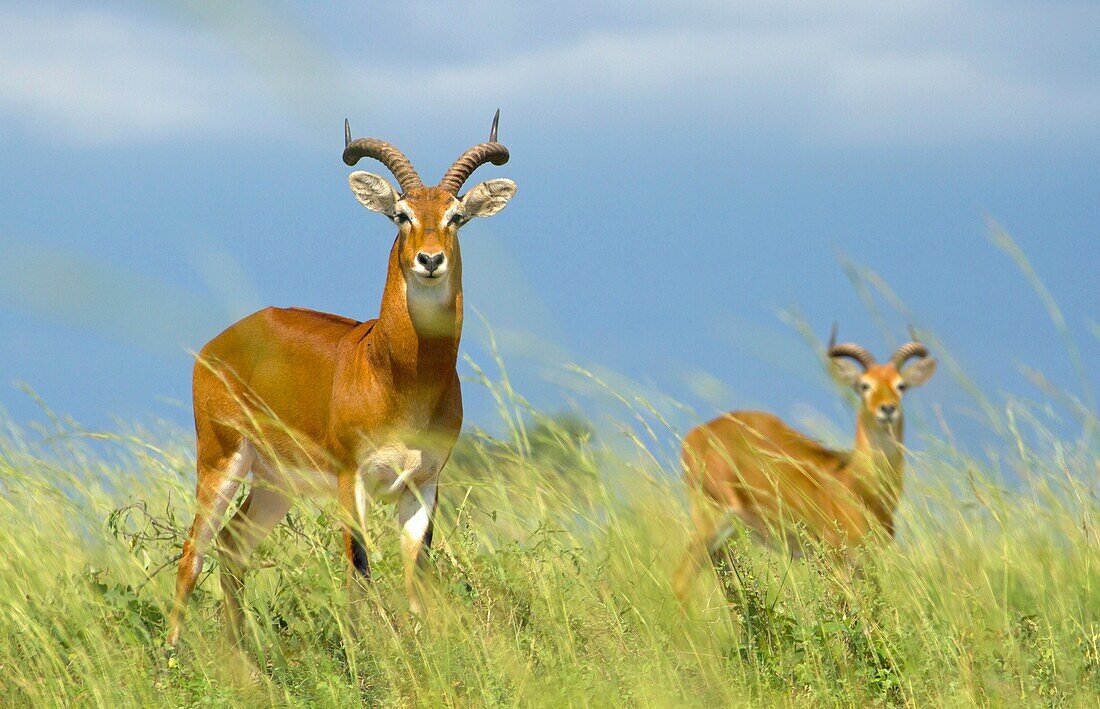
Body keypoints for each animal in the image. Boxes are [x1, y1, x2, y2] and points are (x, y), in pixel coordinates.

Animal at [165, 110, 517, 646]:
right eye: (401, 214)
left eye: (456, 216)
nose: (429, 260)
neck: (401, 380)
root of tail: (217, 343)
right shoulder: (353, 478)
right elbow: (359, 565)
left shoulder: (424, 483)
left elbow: (417, 576)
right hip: (220, 460)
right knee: (192, 553)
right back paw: (172, 657)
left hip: (275, 483)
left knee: (232, 545)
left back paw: (242, 655)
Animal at [668, 325, 937, 597]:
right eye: (864, 385)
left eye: (900, 385)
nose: (887, 409)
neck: (858, 486)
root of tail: (696, 434)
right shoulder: (835, 560)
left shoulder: (866, 564)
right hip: (712, 520)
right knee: (681, 578)